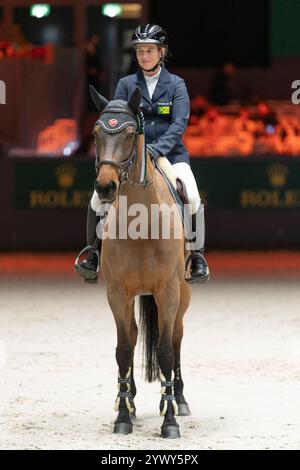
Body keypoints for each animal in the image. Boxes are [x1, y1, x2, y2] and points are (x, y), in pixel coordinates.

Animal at [90, 85, 191, 440]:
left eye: (131, 133)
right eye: (95, 133)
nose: (105, 187)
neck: (140, 222)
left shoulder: (168, 292)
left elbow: (165, 351)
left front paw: (170, 421)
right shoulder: (117, 293)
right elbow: (123, 349)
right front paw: (123, 416)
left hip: (183, 294)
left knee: (176, 338)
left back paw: (180, 400)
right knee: (133, 337)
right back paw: (130, 401)